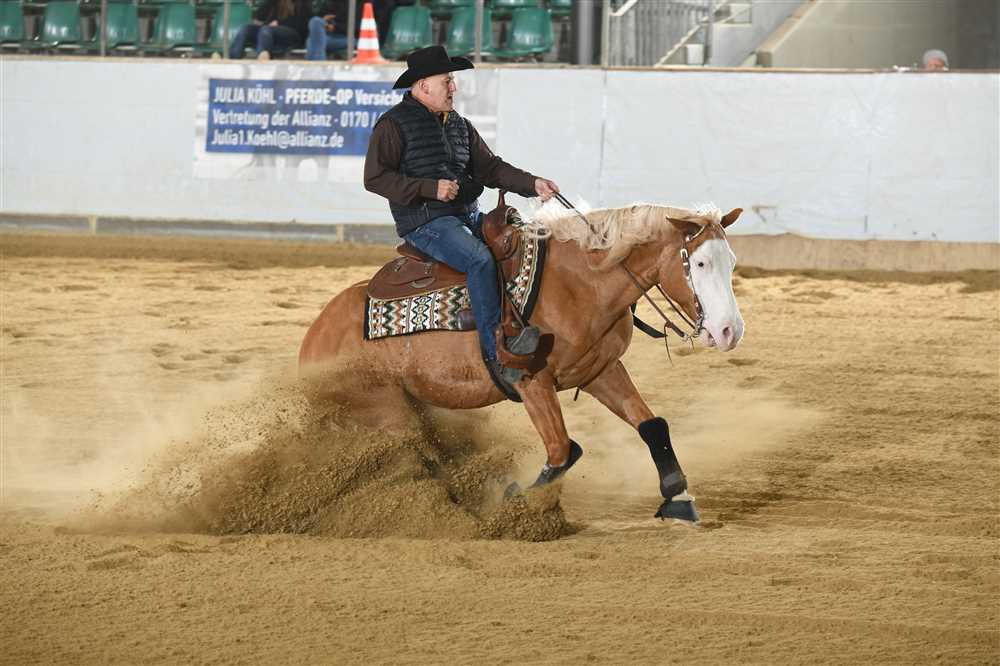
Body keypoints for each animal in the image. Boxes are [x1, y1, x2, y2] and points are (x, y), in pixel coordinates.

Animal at [298, 201, 745, 521]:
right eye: (699, 262)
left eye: (732, 261)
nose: (730, 330)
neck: (581, 284)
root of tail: (312, 342)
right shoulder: (532, 382)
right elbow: (562, 450)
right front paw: (520, 507)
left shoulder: (600, 370)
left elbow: (653, 425)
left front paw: (678, 496)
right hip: (385, 410)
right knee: (420, 457)